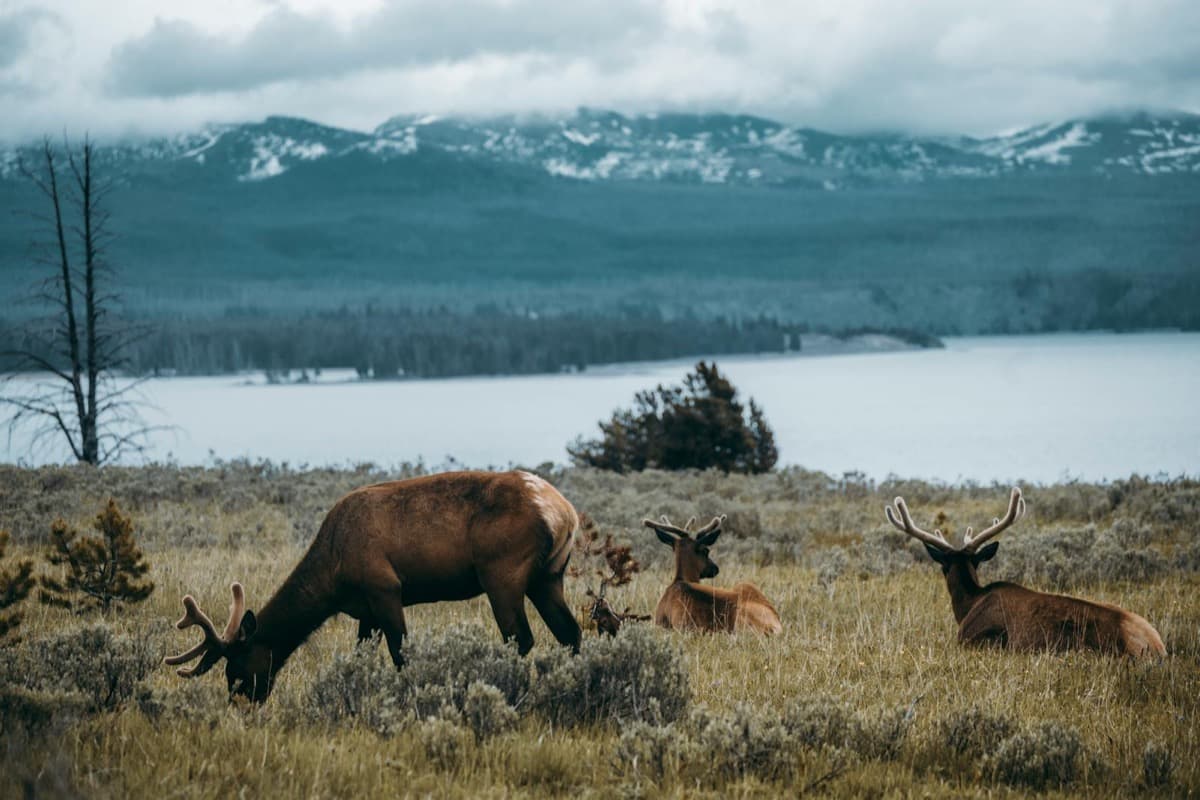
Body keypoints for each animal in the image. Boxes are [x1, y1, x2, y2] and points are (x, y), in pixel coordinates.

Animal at [165, 470, 582, 702]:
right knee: (570, 632)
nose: (241, 704)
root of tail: (564, 512)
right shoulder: (365, 609)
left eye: (236, 668)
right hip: (549, 576)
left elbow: (401, 654)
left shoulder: (385, 588)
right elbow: (362, 656)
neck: (332, 577)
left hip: (502, 573)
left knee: (521, 638)